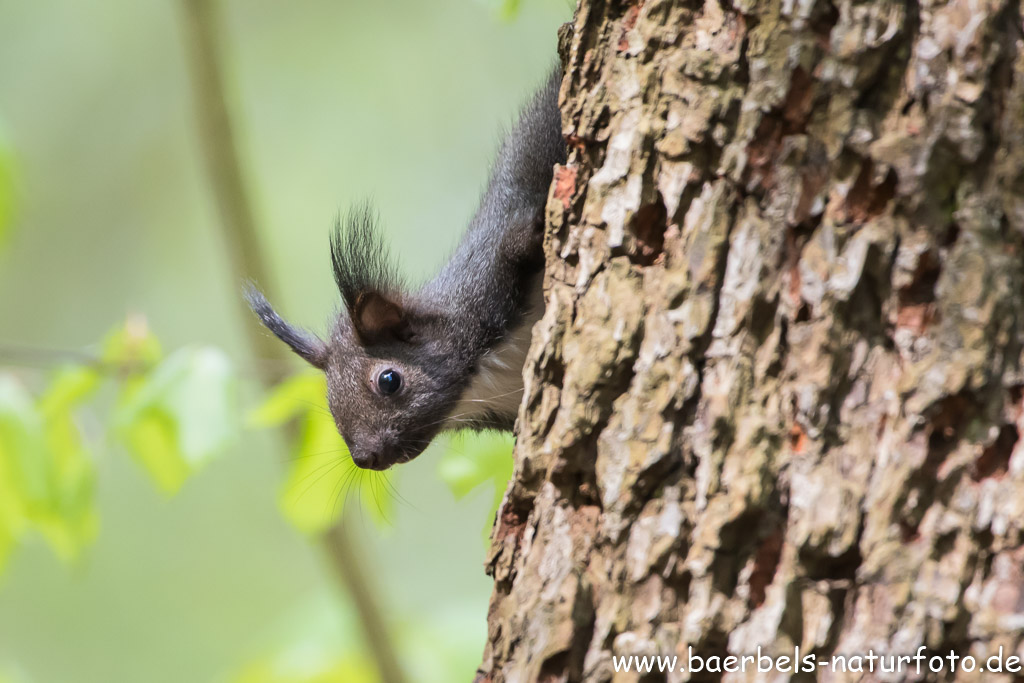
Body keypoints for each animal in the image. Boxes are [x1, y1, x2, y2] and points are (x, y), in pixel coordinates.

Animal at [247, 69, 569, 473]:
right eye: (330, 403)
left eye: (389, 380)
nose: (365, 458)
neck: (482, 379)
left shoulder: (493, 270)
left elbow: (524, 235)